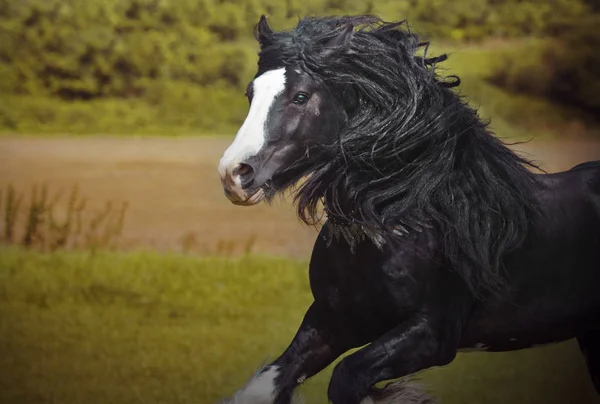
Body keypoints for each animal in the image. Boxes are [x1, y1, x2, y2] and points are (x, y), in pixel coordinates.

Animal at [216, 15, 600, 404]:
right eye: (251, 93)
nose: (234, 174)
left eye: (300, 96)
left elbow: (347, 379)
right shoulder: (331, 321)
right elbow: (267, 383)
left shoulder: (432, 335)